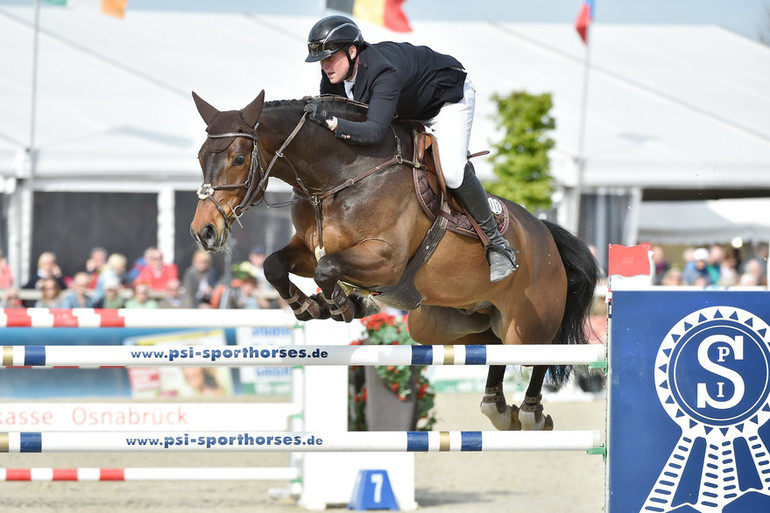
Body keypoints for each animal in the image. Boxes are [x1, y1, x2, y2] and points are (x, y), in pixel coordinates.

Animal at [189, 90, 596, 430]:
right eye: (200, 157)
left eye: (238, 158)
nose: (203, 232)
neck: (340, 176)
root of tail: (546, 234)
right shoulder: (306, 249)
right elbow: (275, 265)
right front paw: (311, 306)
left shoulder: (385, 259)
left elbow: (327, 269)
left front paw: (343, 305)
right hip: (451, 323)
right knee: (493, 350)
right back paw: (496, 407)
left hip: (527, 322)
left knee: (538, 354)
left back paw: (530, 413)